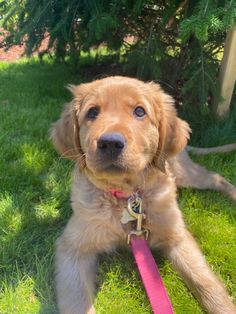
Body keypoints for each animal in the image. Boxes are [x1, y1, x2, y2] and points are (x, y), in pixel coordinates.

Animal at [50, 76, 236, 314]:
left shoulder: (177, 234)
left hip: (185, 174)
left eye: (140, 111)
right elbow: (77, 301)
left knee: (215, 177)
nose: (110, 143)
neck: (126, 196)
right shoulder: (72, 248)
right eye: (92, 112)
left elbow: (205, 282)